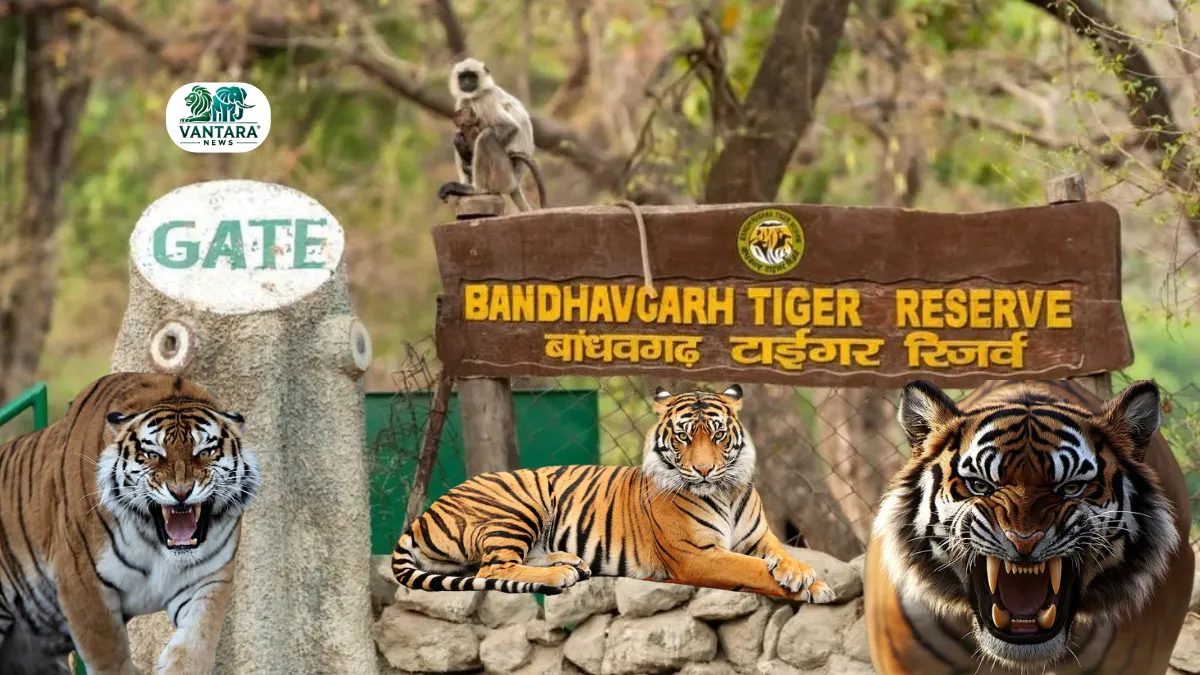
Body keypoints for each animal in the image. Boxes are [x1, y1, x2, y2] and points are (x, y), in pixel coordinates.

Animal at [0, 372, 261, 675]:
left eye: (205, 451)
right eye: (154, 454)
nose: (181, 492)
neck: (156, 544)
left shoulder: (207, 579)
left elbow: (195, 644)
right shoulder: (82, 580)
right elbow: (110, 659)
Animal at [392, 385, 835, 603]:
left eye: (718, 434)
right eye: (683, 437)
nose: (704, 469)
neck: (724, 491)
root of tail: (425, 513)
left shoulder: (761, 538)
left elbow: (780, 557)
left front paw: (803, 575)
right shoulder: (698, 555)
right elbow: (752, 570)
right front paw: (809, 586)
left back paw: (570, 561)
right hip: (518, 504)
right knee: (491, 569)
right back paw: (559, 573)